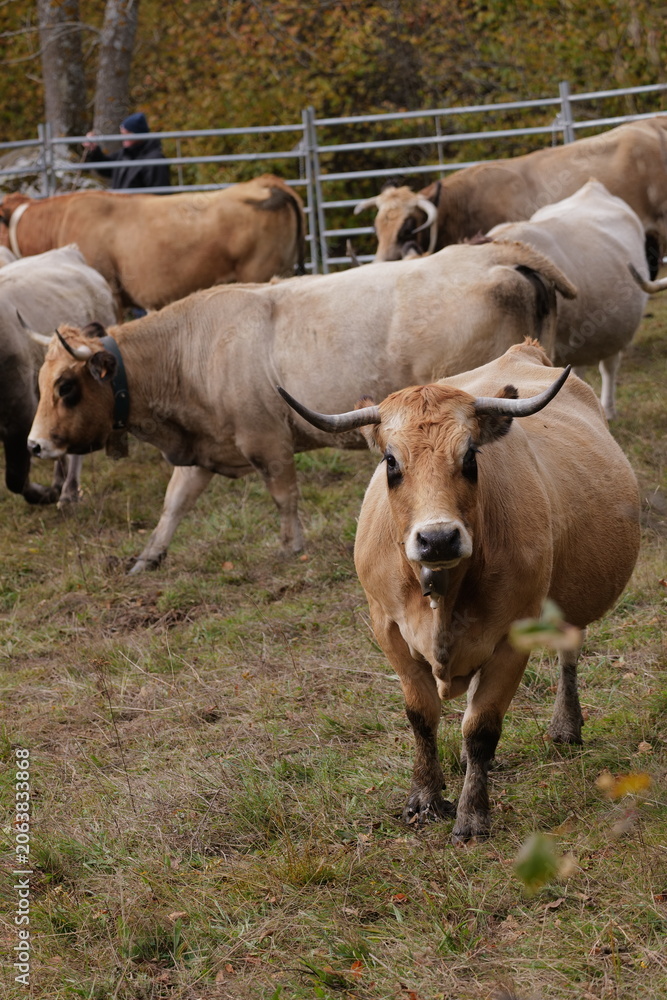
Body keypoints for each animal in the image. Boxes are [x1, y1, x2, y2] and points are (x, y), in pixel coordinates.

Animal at [26, 239, 574, 571]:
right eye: (42, 382)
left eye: (66, 387)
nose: (34, 445)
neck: (192, 348)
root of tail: (498, 253)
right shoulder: (205, 448)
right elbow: (174, 503)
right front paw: (149, 557)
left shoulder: (265, 439)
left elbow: (283, 494)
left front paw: (291, 547)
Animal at [277, 339, 641, 841]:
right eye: (391, 462)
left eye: (470, 458)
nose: (438, 539)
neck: (443, 596)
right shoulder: (387, 629)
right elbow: (421, 716)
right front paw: (425, 798)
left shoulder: (513, 637)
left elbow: (482, 727)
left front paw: (472, 815)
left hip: (569, 600)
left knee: (568, 650)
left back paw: (565, 727)